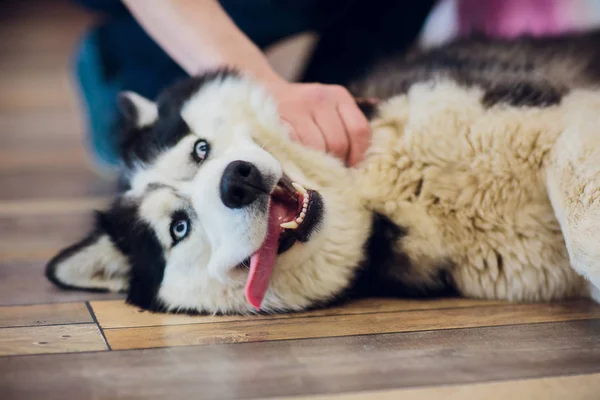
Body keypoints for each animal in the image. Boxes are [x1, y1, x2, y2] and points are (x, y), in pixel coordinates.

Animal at [49, 32, 600, 314]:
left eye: (200, 150)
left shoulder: (562, 110)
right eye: (179, 228)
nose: (237, 180)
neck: (377, 192)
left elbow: (578, 220)